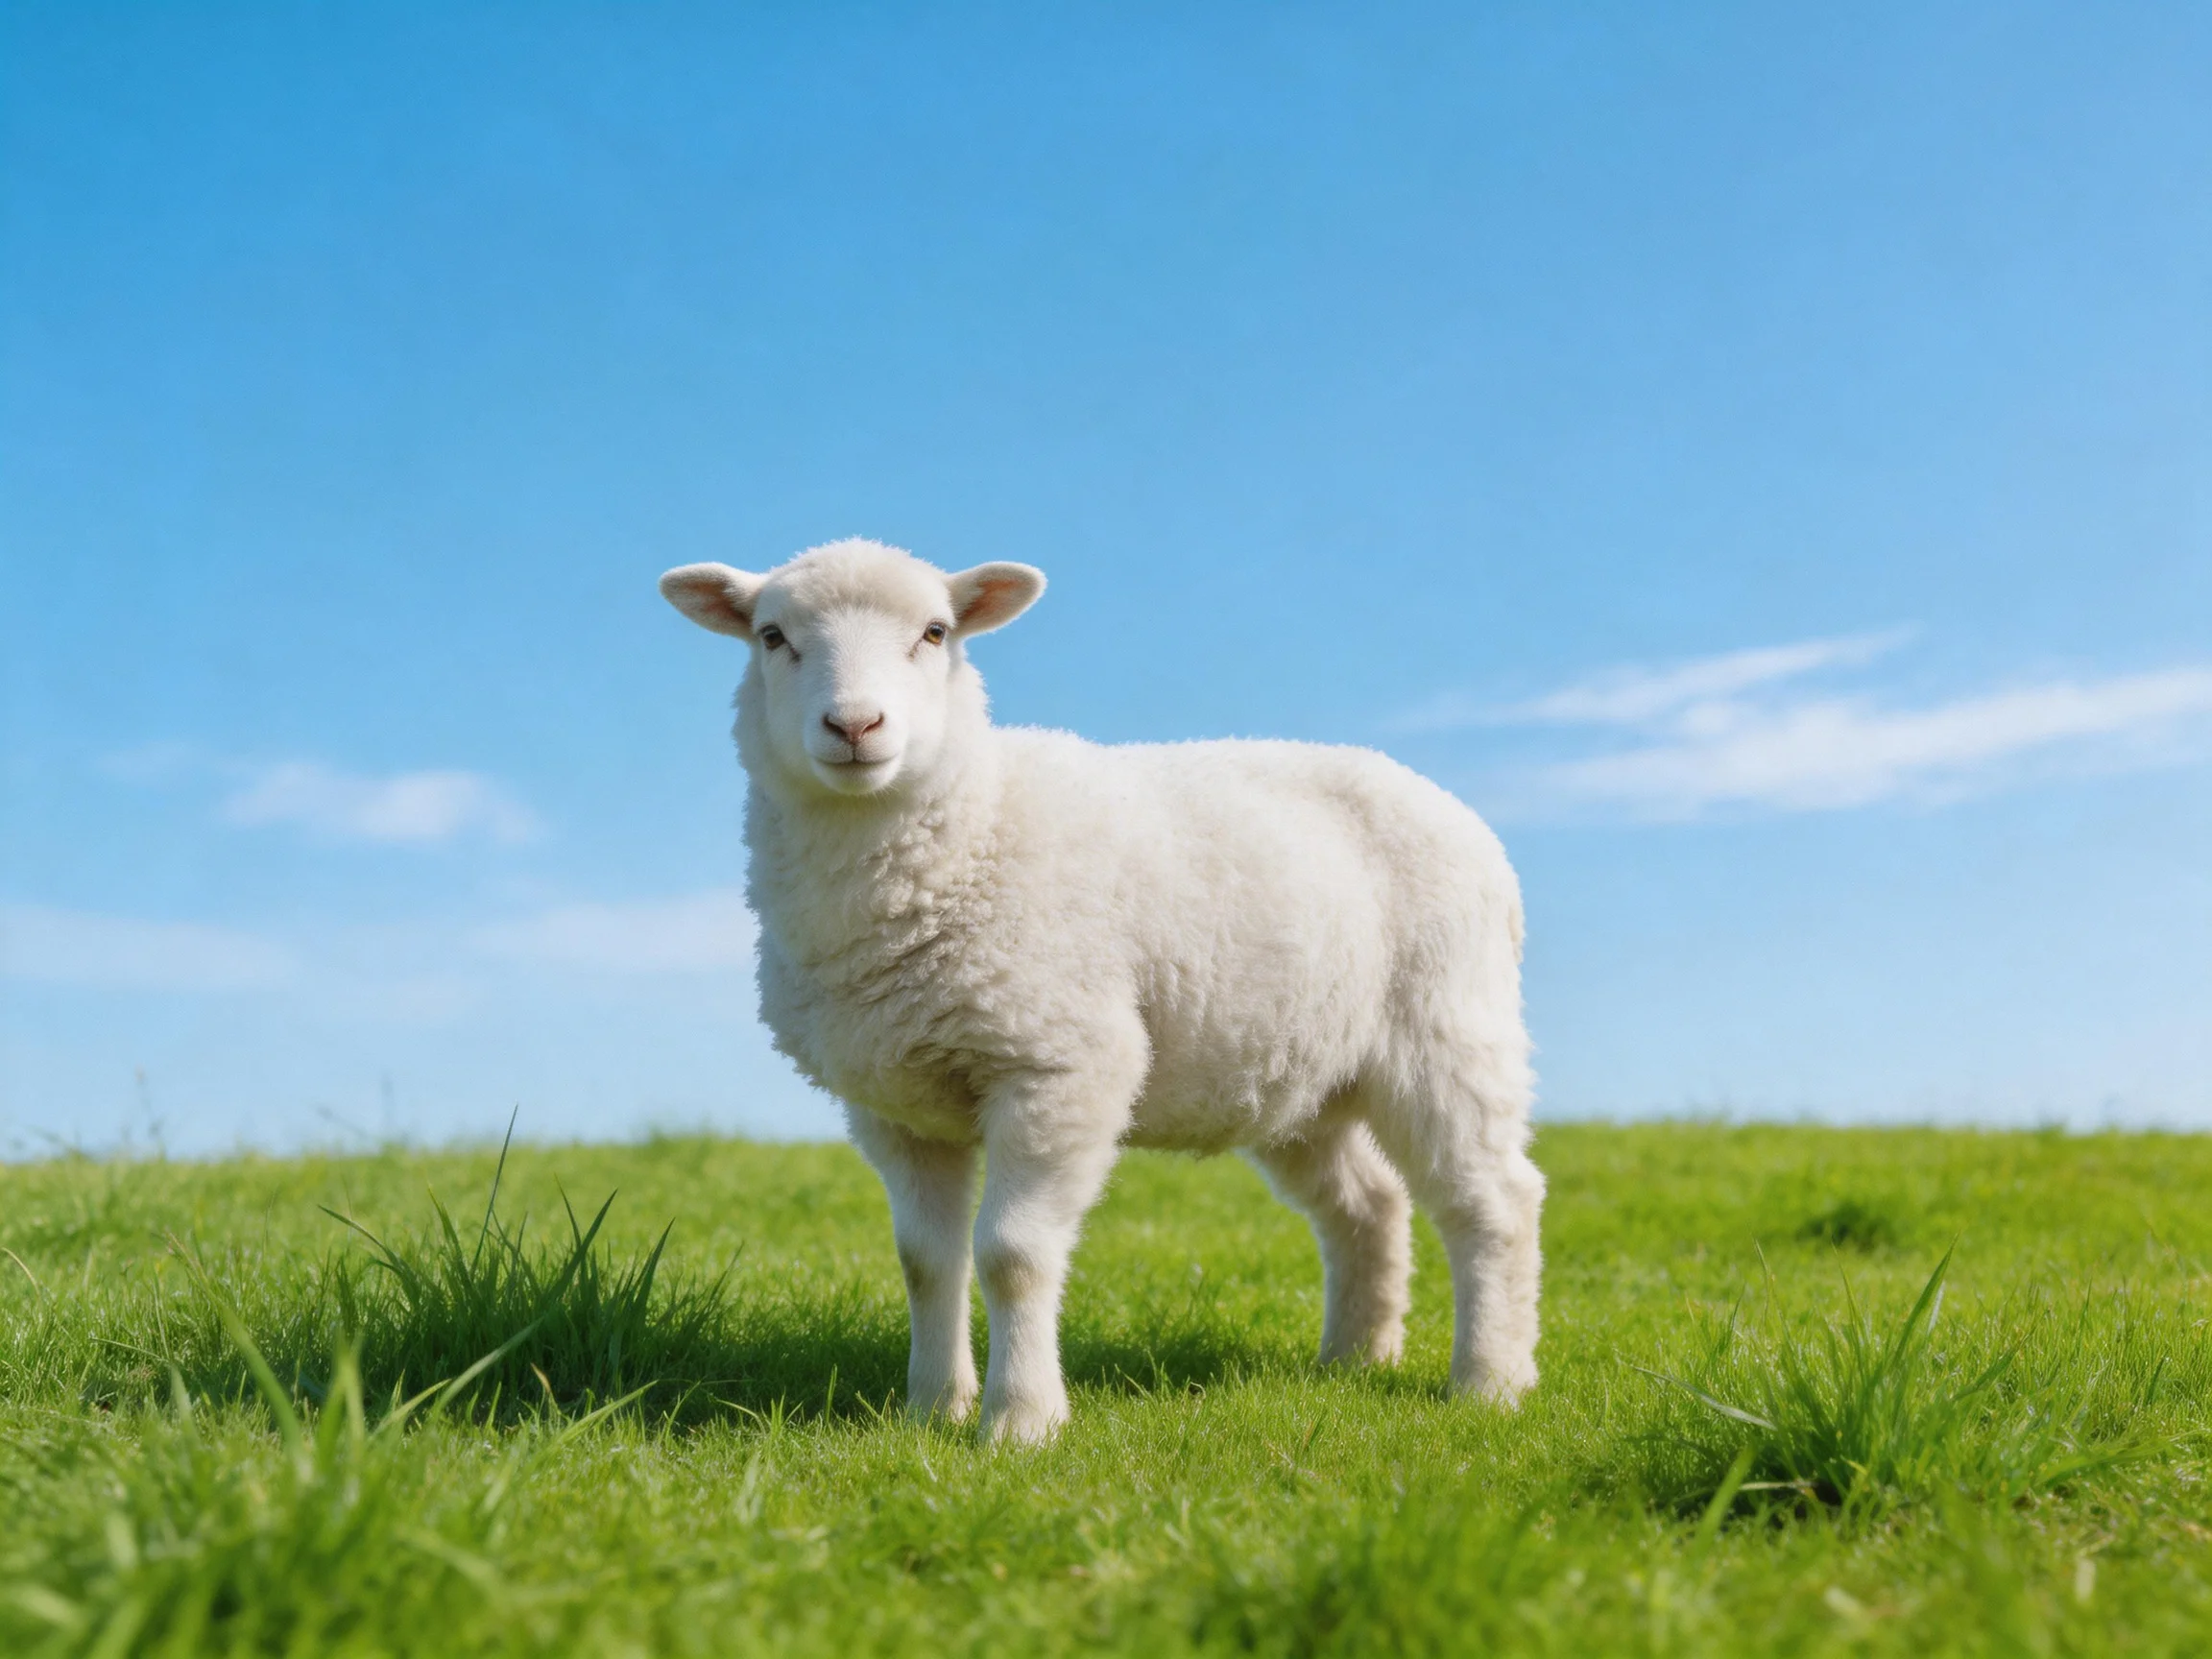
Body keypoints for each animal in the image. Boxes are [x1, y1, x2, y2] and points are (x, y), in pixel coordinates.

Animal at [660, 537, 1543, 1444]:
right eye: (772, 637)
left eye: (936, 633)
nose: (854, 727)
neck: (968, 829)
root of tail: (1453, 811)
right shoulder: (895, 1103)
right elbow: (925, 1262)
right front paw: (932, 1409)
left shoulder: (1059, 1065)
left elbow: (1012, 1254)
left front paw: (1021, 1421)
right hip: (1301, 1075)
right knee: (1368, 1206)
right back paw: (1355, 1359)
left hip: (1449, 1028)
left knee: (1493, 1202)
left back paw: (1491, 1381)